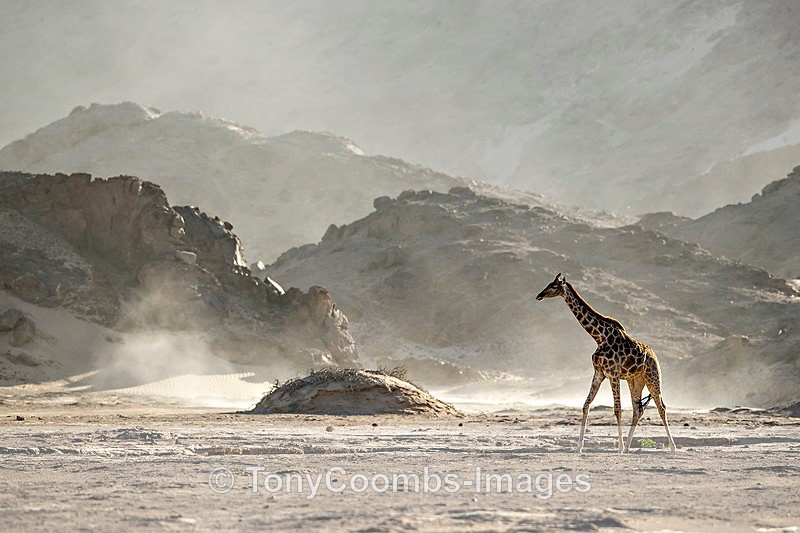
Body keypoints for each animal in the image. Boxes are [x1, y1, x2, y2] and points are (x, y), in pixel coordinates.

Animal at [536, 273, 676, 453]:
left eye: (553, 286)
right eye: (548, 283)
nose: (539, 295)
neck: (599, 336)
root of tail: (654, 355)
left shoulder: (613, 374)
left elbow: (617, 409)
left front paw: (618, 447)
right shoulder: (599, 373)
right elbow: (586, 405)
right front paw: (579, 447)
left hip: (653, 376)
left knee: (661, 407)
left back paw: (671, 447)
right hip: (635, 380)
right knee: (638, 409)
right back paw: (628, 448)